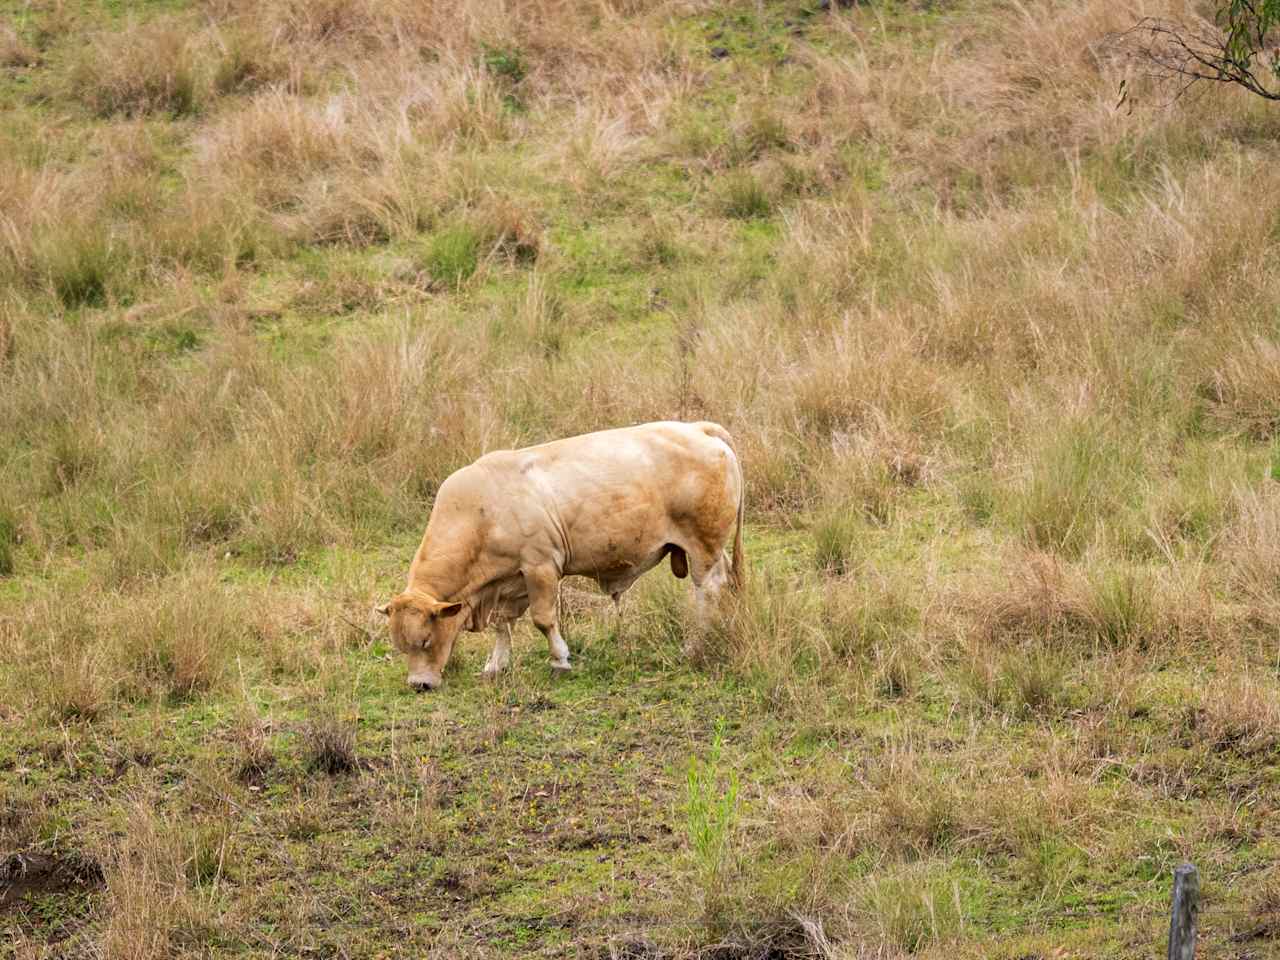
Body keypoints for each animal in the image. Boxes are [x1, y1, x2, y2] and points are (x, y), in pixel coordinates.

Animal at [373, 419, 747, 691]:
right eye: (400, 645)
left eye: (425, 640)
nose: (419, 684)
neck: (482, 510)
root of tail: (697, 428)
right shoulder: (508, 583)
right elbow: (502, 625)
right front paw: (496, 665)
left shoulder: (540, 567)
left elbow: (543, 619)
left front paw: (560, 660)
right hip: (711, 550)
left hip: (702, 549)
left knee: (707, 591)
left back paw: (695, 646)